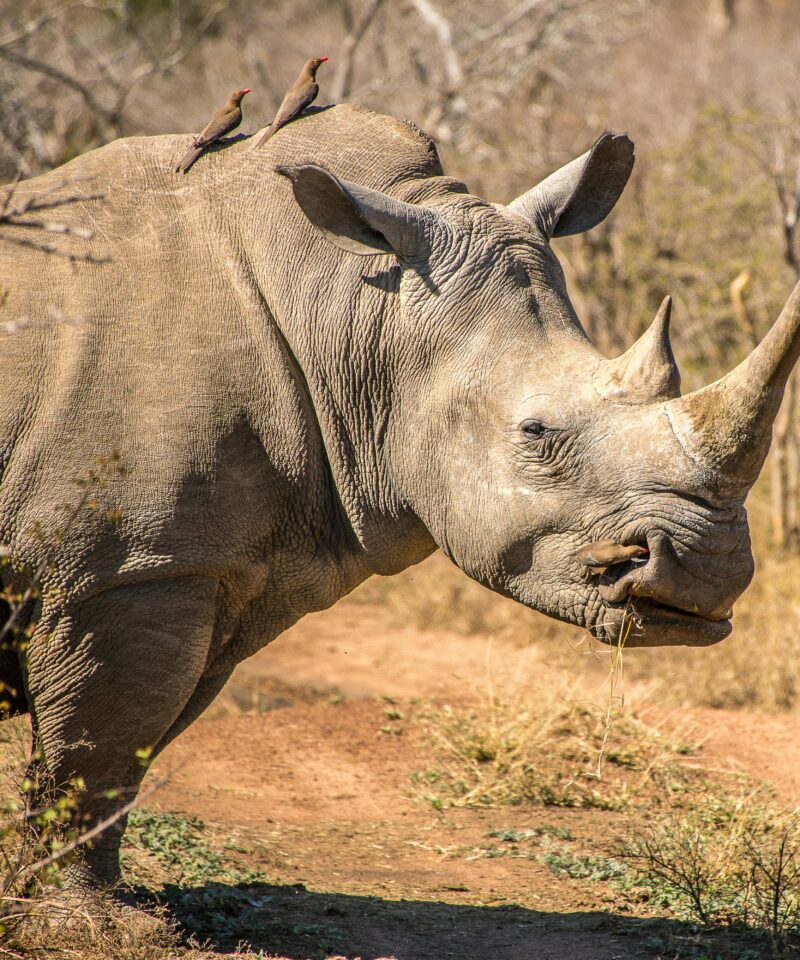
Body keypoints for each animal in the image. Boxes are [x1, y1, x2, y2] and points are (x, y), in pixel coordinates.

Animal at [1, 103, 798, 894]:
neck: (353, 311)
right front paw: (87, 908)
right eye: (536, 434)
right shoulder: (131, 562)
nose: (708, 571)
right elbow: (99, 748)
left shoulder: (205, 565)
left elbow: (128, 745)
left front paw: (66, 894)